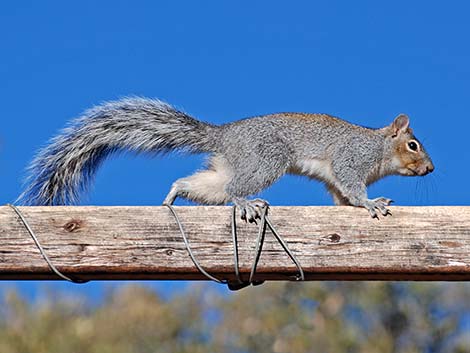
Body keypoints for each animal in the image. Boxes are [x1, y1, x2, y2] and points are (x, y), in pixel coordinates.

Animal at [18, 97, 434, 219]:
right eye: (414, 145)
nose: (430, 168)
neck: (380, 149)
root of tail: (225, 135)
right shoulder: (351, 158)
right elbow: (352, 186)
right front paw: (371, 203)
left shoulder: (336, 178)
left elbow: (340, 195)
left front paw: (356, 206)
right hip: (265, 160)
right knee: (235, 189)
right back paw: (246, 202)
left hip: (228, 168)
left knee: (201, 185)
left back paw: (171, 197)